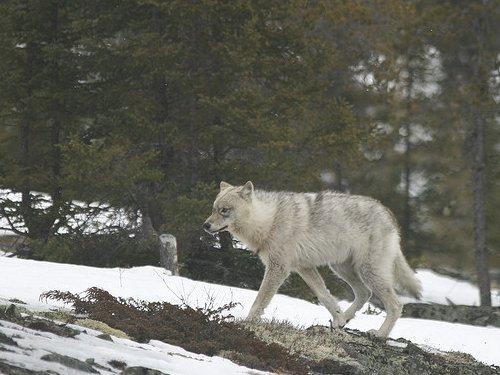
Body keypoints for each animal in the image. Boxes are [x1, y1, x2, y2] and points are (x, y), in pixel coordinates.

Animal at [203, 182, 422, 338]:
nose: (205, 225)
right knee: (364, 294)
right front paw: (338, 318)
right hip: (342, 269)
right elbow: (324, 296)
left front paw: (246, 323)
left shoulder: (279, 269)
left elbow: (259, 301)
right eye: (213, 209)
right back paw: (345, 320)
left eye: (224, 210)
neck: (269, 221)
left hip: (367, 271)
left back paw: (380, 334)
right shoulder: (304, 268)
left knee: (395, 305)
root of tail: (388, 214)